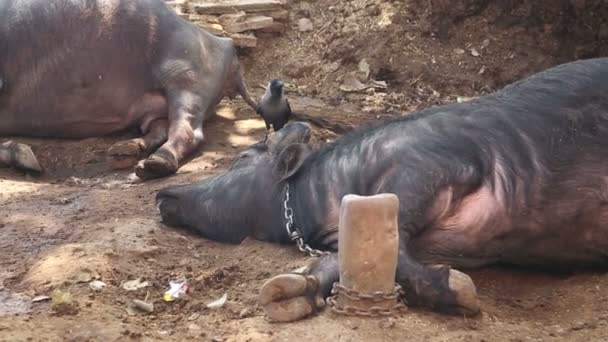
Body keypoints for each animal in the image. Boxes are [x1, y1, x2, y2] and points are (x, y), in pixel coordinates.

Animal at [158, 57, 608, 322]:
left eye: (241, 159)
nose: (164, 195)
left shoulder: (429, 166)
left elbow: (397, 244)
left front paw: (465, 293)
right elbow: (348, 258)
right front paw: (282, 295)